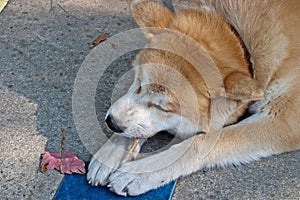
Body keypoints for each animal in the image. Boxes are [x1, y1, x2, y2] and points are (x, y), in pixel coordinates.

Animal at [86, 0, 300, 196]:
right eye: (138, 82)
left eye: (164, 108)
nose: (112, 123)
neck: (242, 40)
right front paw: (112, 150)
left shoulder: (283, 121)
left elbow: (199, 143)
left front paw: (141, 172)